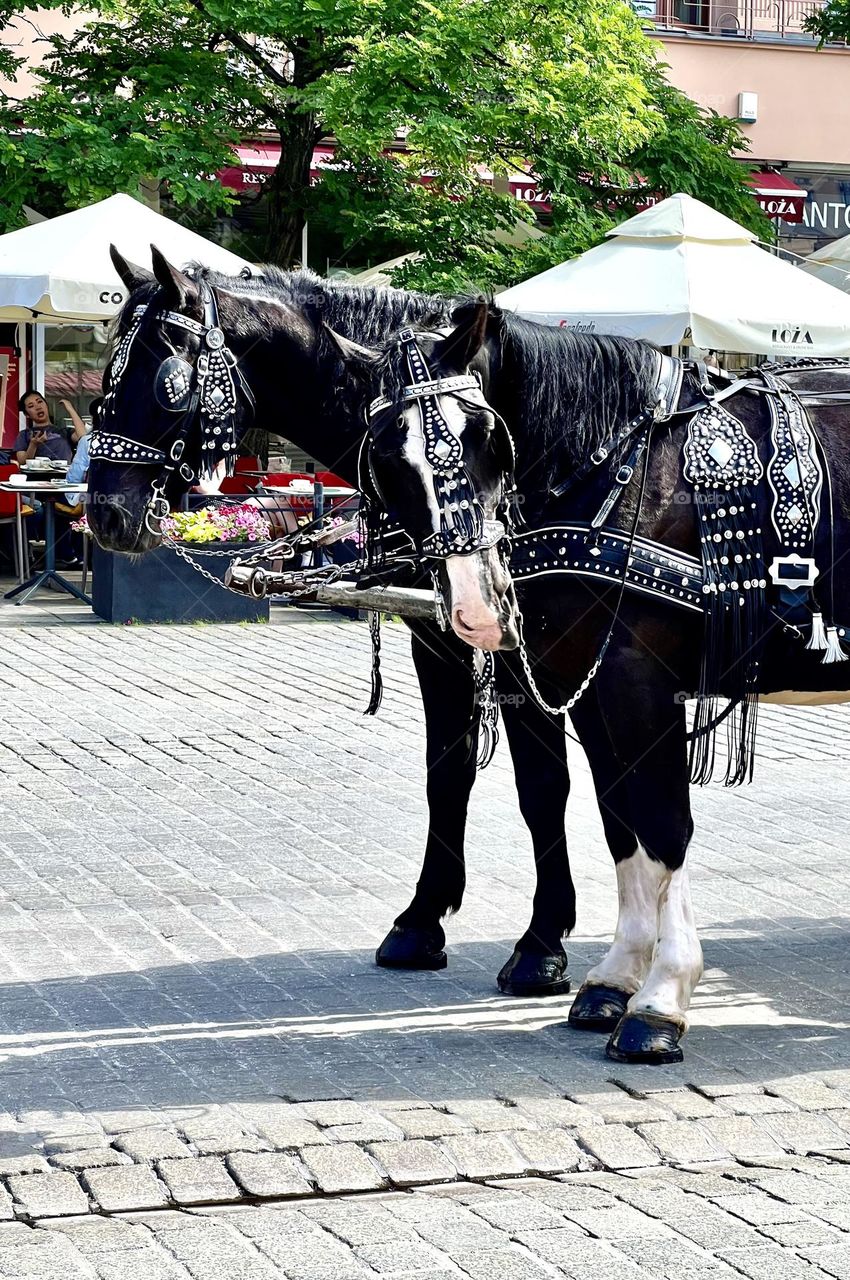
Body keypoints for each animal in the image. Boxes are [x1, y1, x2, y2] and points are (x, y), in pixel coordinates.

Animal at [87, 248, 642, 1013]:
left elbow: (542, 788)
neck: (553, 448)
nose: (105, 513)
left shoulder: (531, 654)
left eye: (165, 381)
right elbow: (446, 775)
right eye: (106, 374)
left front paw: (541, 943)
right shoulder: (439, 638)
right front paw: (421, 922)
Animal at [330, 298, 850, 1064]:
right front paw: (616, 976)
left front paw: (662, 997)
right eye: (388, 458)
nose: (477, 604)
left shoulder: (637, 677)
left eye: (486, 436)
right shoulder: (590, 682)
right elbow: (620, 823)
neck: (623, 471)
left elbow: (663, 824)